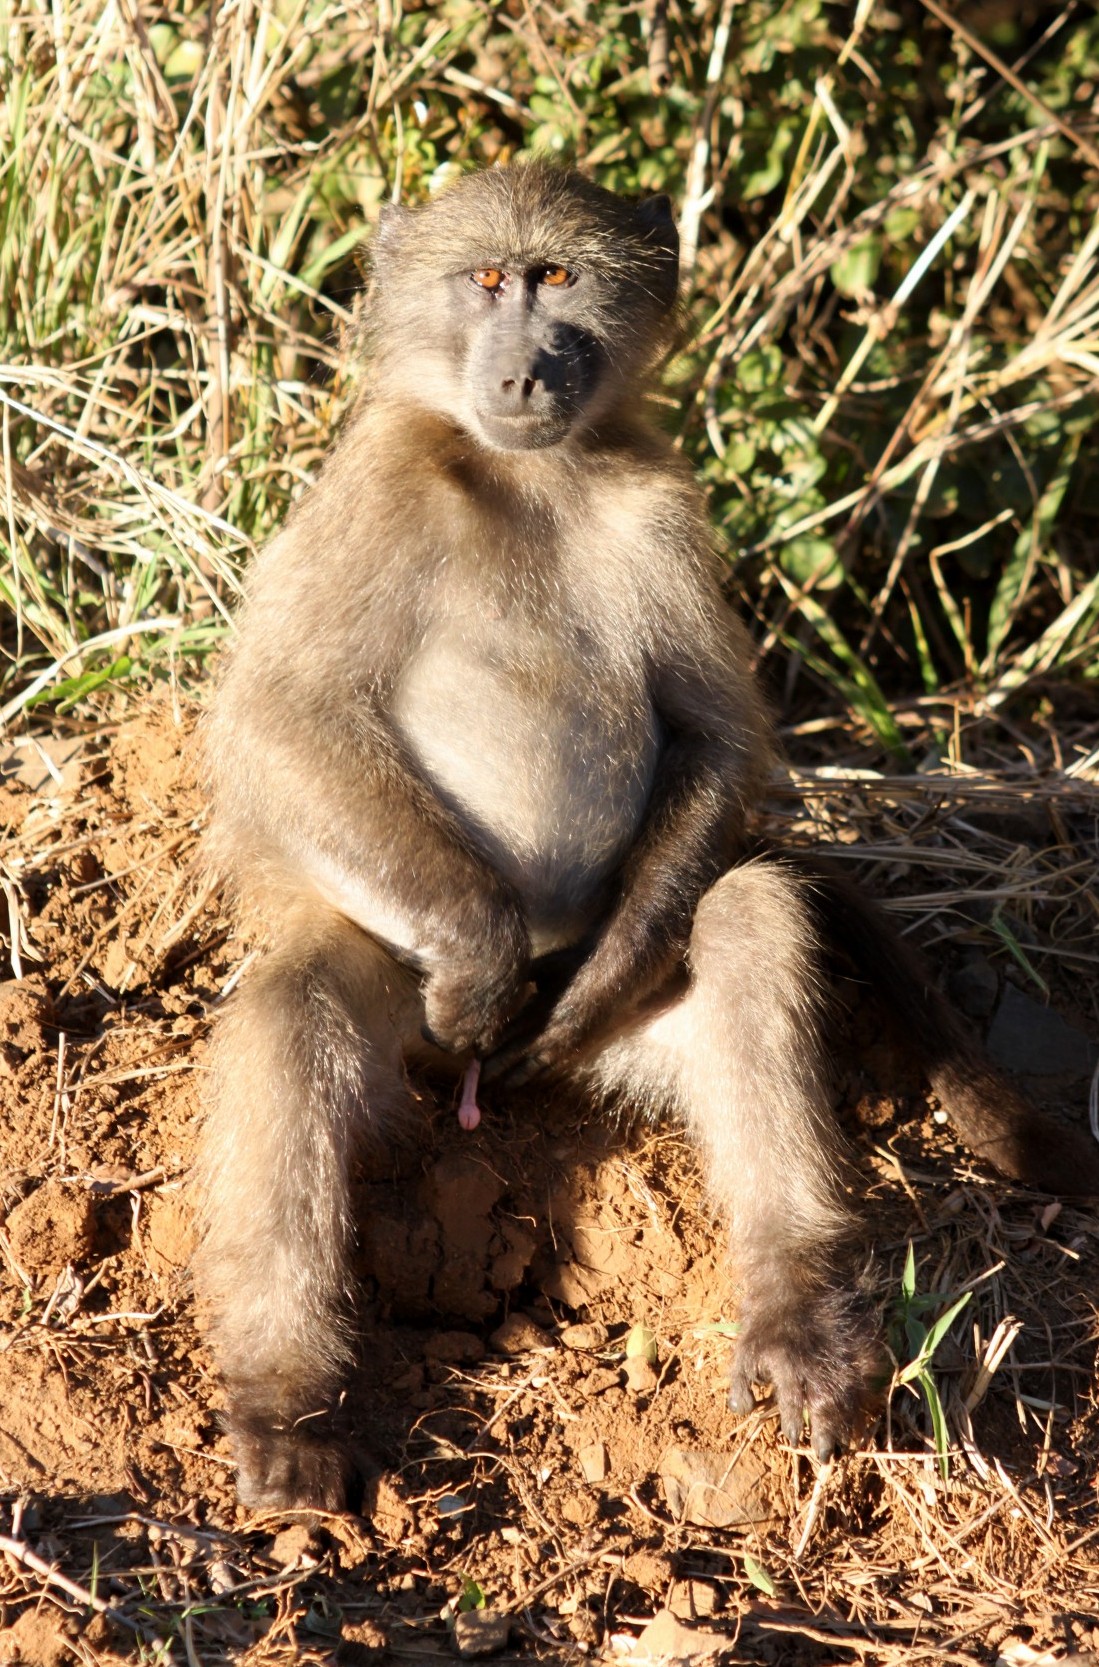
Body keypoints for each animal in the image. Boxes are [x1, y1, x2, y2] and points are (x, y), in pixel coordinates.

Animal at [199, 161, 1099, 1514]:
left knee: (747, 920)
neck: (528, 474)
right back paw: (284, 1405)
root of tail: (480, 1090)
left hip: (616, 1051)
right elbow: (281, 714)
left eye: (558, 278)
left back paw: (793, 1318)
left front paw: (589, 978)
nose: (527, 375)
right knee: (297, 1006)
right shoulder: (373, 492)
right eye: (486, 280)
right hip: (410, 1029)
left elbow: (714, 737)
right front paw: (480, 950)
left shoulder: (660, 504)